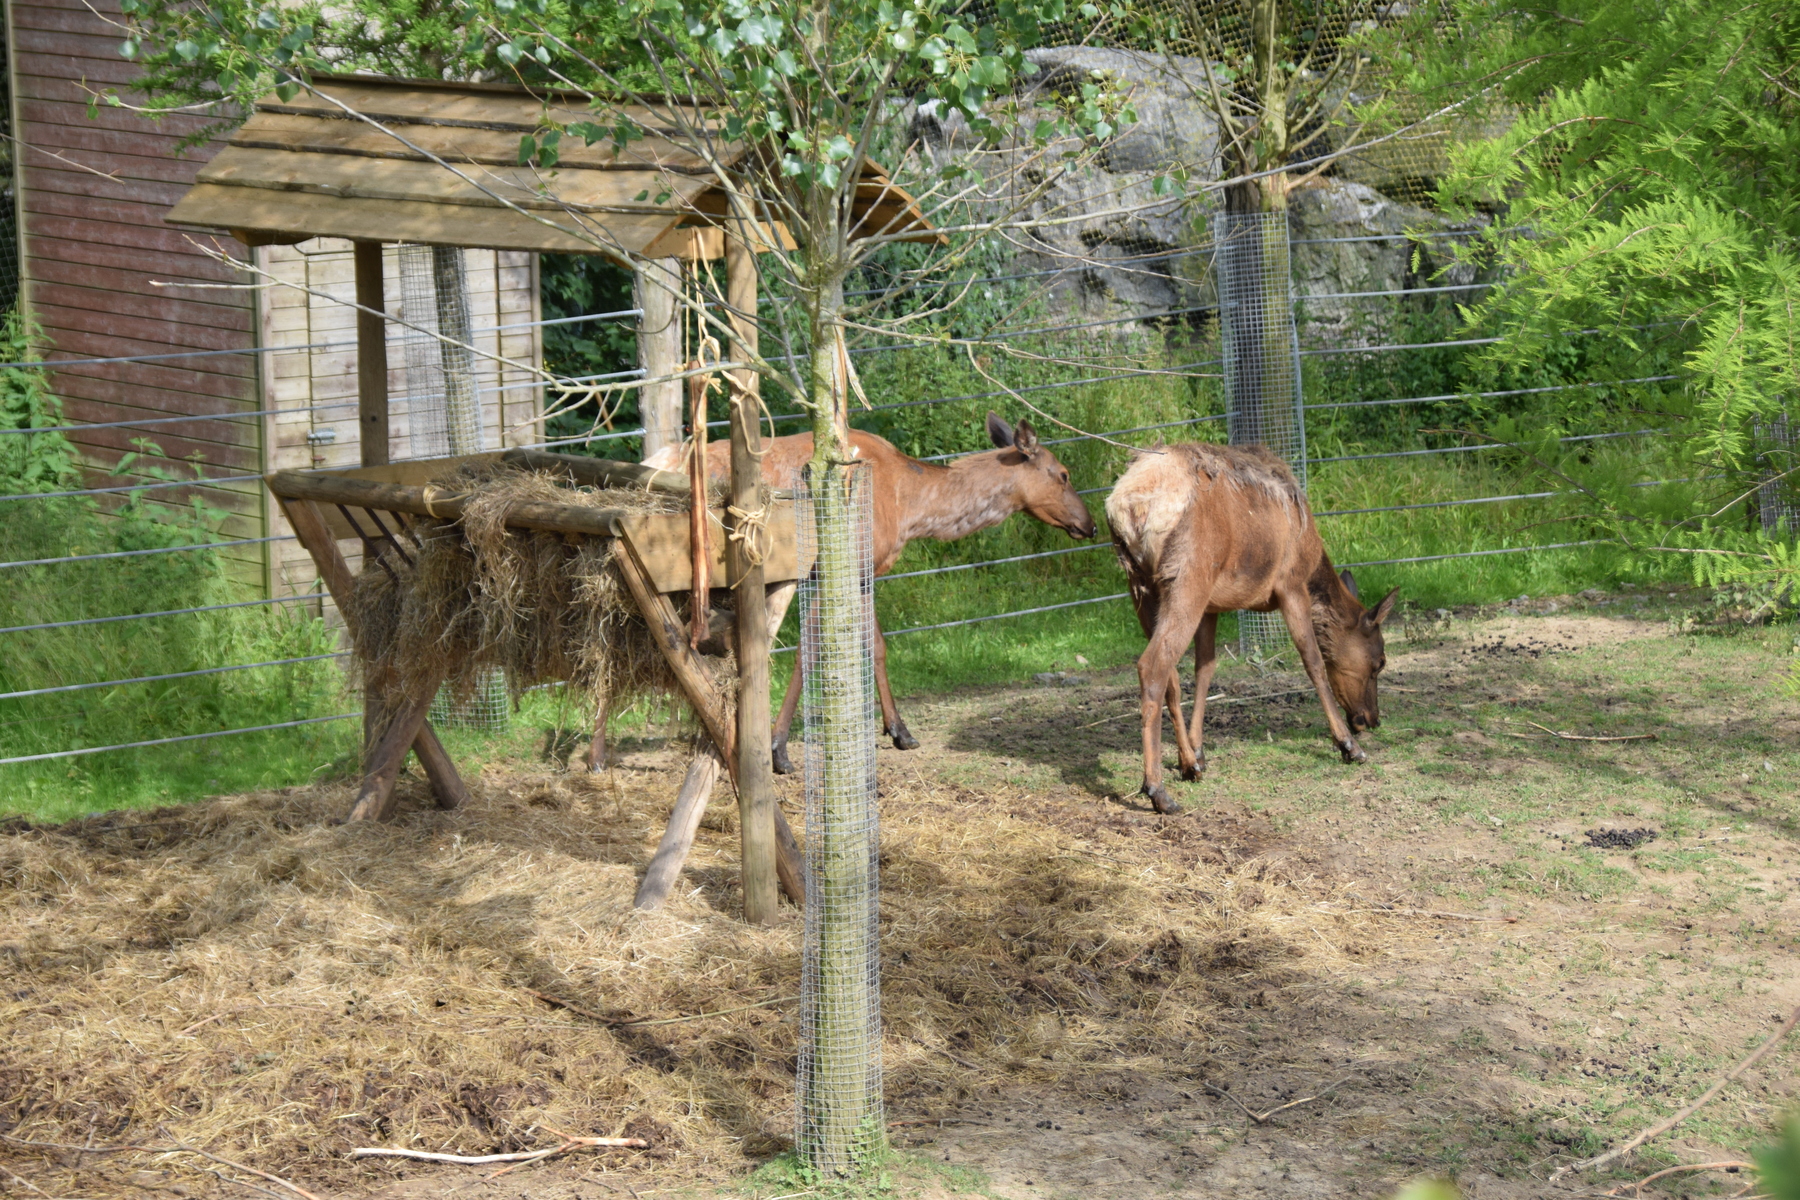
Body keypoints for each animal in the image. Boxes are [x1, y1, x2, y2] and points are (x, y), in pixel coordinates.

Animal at [577, 412, 1097, 774]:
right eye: (1064, 474)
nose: (1089, 525)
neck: (914, 509)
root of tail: (654, 462)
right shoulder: (834, 566)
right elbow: (821, 651)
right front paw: (780, 749)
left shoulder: (853, 571)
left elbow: (864, 647)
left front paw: (896, 729)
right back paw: (599, 754)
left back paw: (598, 752)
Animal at [1106, 441, 1398, 814]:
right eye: (1380, 662)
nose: (1372, 719)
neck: (1313, 557)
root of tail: (1128, 505)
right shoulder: (1290, 584)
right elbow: (1313, 661)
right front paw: (1348, 746)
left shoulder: (1212, 606)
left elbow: (1205, 668)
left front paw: (1199, 751)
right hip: (1188, 576)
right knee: (1152, 664)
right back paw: (1157, 790)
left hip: (1141, 585)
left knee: (1169, 674)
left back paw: (1186, 764)